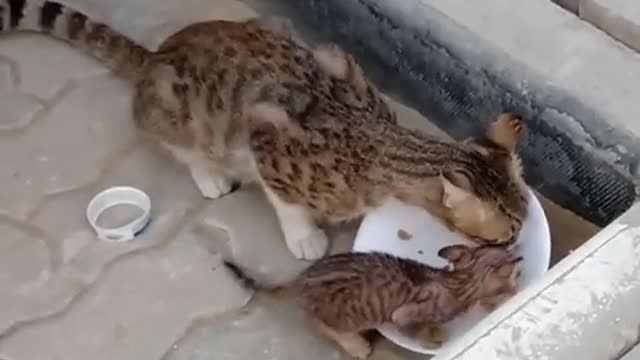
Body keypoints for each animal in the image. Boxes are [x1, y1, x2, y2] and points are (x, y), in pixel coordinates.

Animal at [0, 0, 528, 262]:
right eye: (506, 232)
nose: (518, 243)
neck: (374, 141)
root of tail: (154, 56)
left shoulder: (335, 57)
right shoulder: (264, 135)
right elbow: (286, 201)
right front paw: (304, 236)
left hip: (272, 23)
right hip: (178, 107)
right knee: (180, 144)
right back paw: (209, 175)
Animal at [222, 243, 524, 358]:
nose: (520, 269)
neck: (458, 281)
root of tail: (301, 279)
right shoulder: (403, 314)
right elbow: (415, 327)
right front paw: (431, 339)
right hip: (338, 315)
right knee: (321, 324)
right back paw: (355, 344)